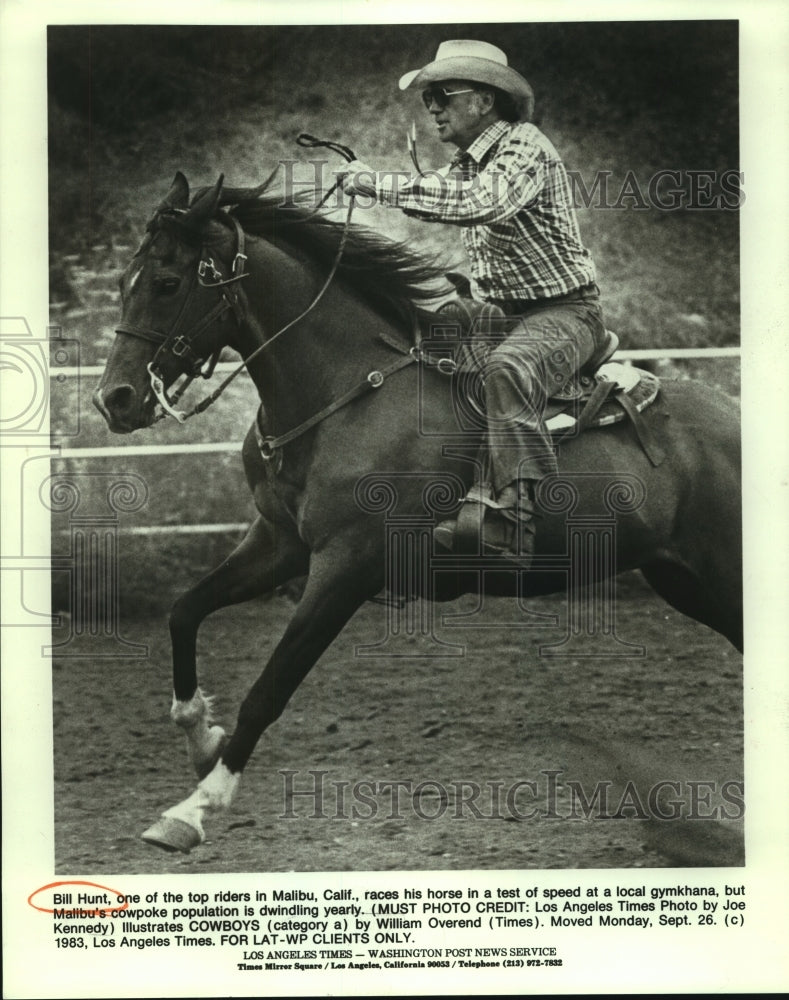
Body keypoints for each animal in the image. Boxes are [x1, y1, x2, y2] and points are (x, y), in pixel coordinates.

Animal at [94, 172, 744, 852]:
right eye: (126, 282)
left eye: (169, 282)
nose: (114, 399)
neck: (347, 393)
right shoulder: (279, 543)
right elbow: (185, 610)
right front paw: (201, 737)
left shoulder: (346, 566)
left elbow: (271, 686)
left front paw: (195, 807)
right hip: (683, 580)